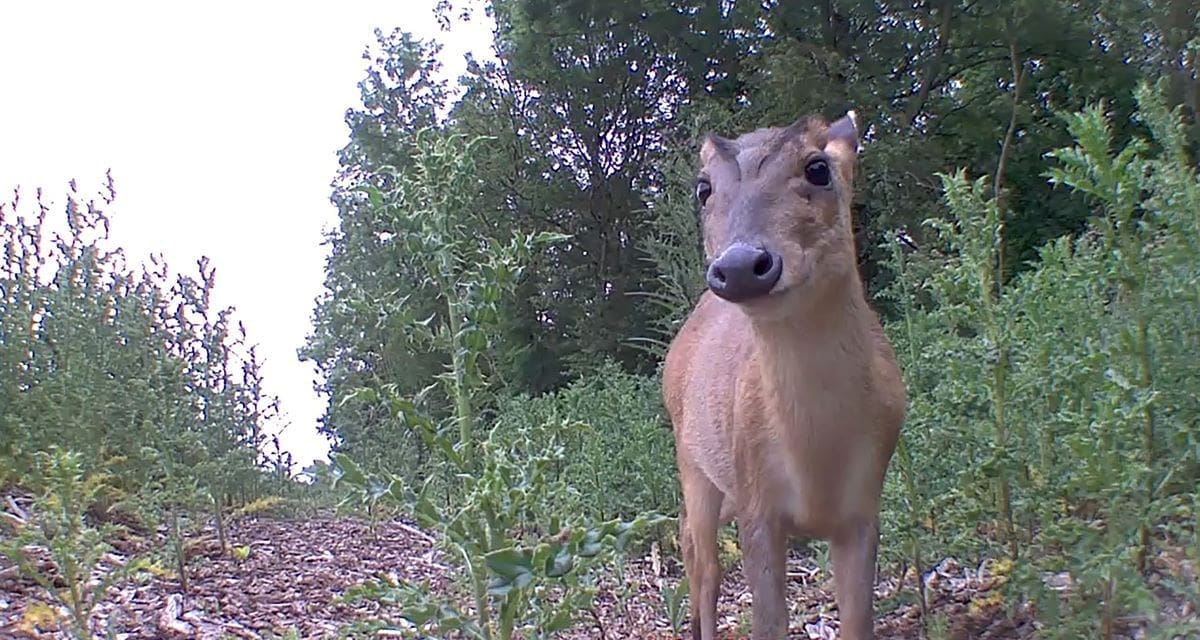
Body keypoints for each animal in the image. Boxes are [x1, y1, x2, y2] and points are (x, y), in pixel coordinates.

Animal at [662, 110, 906, 640]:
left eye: (818, 168)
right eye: (703, 188)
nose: (739, 265)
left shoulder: (864, 506)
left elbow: (858, 622)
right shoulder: (757, 500)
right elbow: (768, 623)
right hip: (693, 461)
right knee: (703, 560)